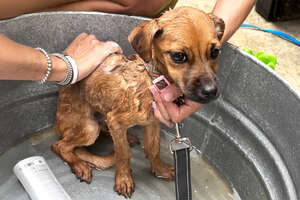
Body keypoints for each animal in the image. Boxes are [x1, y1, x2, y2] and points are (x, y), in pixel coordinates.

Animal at [52, 6, 225, 198]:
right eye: (178, 56)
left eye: (215, 52)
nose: (211, 92)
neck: (153, 80)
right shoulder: (116, 120)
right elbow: (123, 154)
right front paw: (123, 179)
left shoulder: (153, 122)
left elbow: (153, 148)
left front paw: (159, 169)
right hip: (89, 128)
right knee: (60, 146)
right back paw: (79, 165)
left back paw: (127, 137)